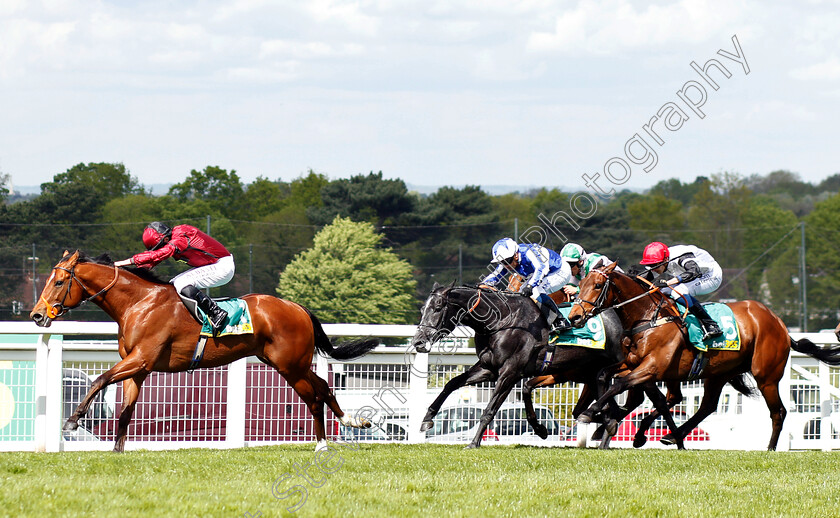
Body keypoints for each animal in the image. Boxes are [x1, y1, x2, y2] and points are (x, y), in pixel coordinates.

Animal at [29, 251, 378, 450]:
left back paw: (321, 444)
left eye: (58, 282)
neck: (138, 303)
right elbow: (126, 411)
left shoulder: (140, 359)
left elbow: (99, 380)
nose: (37, 315)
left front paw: (72, 421)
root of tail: (298, 307)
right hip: (290, 363)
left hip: (289, 365)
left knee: (313, 397)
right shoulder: (138, 368)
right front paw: (117, 452)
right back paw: (351, 422)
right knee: (324, 386)